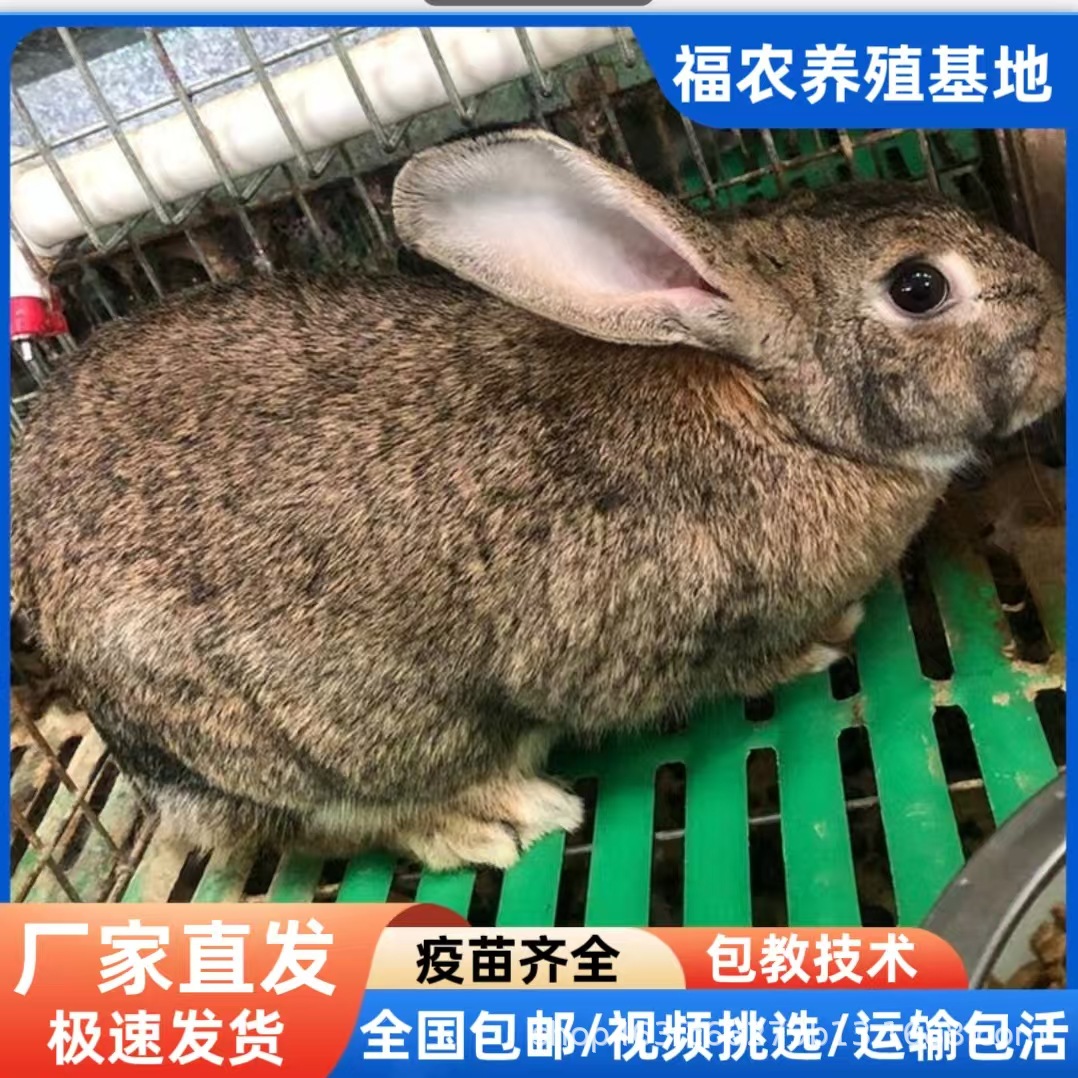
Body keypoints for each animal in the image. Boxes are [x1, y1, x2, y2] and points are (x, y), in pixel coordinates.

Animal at [10, 129, 1065, 871]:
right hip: (327, 740)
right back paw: (499, 821)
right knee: (330, 823)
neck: (777, 410)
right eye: (918, 287)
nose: (1060, 350)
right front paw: (824, 640)